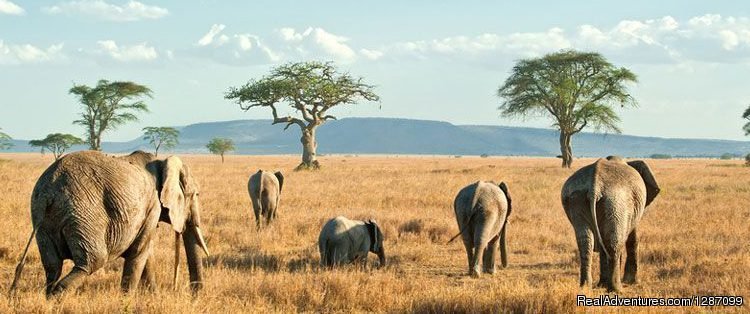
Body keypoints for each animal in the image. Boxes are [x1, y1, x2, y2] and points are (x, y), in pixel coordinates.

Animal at [10, 151, 212, 298]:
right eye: (195, 194)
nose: (194, 295)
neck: (162, 161)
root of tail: (48, 191)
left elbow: (146, 252)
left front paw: (152, 298)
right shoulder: (152, 205)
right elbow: (139, 252)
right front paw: (127, 301)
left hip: (43, 219)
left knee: (53, 266)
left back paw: (48, 298)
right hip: (84, 213)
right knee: (92, 261)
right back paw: (56, 298)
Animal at [560, 156, 660, 294]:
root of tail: (594, 187)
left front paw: (602, 284)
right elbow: (632, 238)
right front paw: (632, 282)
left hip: (577, 198)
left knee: (585, 242)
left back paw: (585, 287)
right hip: (615, 201)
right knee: (614, 242)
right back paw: (616, 289)